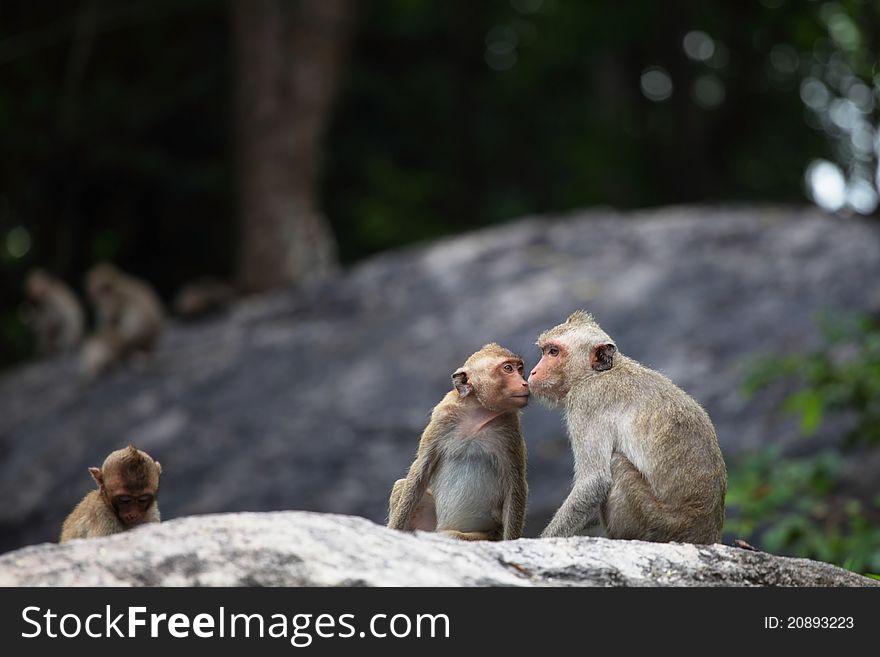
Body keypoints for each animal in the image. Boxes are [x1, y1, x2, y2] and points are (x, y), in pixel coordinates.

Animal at [386, 344, 528, 540]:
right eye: (508, 368)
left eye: (520, 369)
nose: (525, 382)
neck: (477, 412)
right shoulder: (442, 417)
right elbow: (421, 468)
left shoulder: (510, 429)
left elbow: (515, 485)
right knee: (401, 486)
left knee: (451, 535)